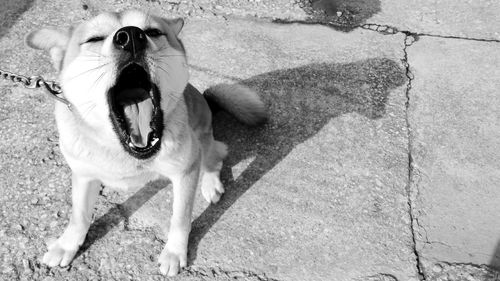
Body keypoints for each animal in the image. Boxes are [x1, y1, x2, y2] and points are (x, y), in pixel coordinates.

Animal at [26, 9, 270, 276]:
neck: (125, 153)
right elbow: (79, 216)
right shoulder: (84, 174)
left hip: (202, 138)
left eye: (153, 32)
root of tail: (206, 100)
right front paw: (66, 245)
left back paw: (211, 183)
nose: (131, 36)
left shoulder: (185, 171)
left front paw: (174, 252)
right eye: (94, 39)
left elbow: (180, 219)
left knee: (215, 158)